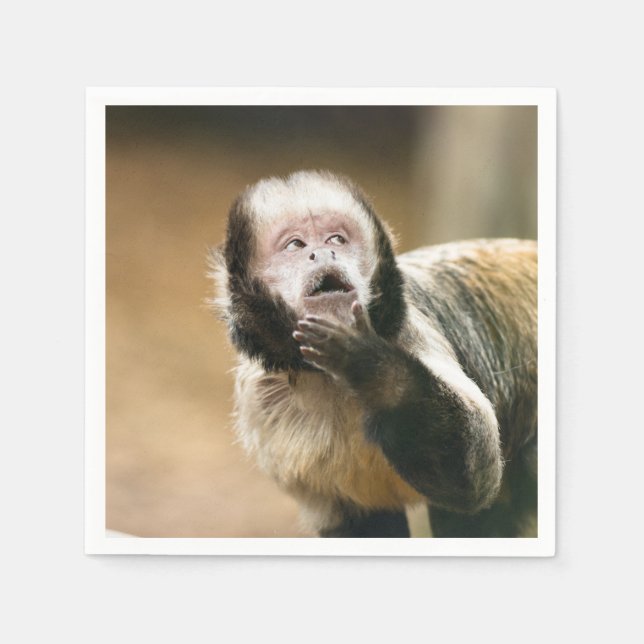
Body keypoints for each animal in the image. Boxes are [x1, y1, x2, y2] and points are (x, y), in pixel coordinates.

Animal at [209, 170, 537, 538]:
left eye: (336, 239)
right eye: (296, 245)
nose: (323, 253)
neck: (329, 377)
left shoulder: (410, 331)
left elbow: (475, 477)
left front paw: (367, 363)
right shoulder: (260, 398)